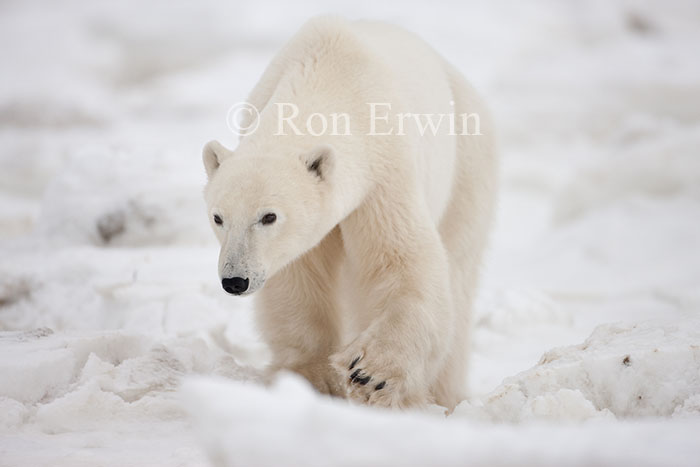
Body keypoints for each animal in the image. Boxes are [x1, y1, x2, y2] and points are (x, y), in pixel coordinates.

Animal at [202, 17, 497, 410]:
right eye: (218, 218)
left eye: (268, 217)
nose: (235, 280)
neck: (331, 78)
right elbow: (299, 279)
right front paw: (316, 378)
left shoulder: (384, 173)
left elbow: (402, 261)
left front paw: (370, 373)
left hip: (467, 165)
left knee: (458, 272)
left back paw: (442, 396)